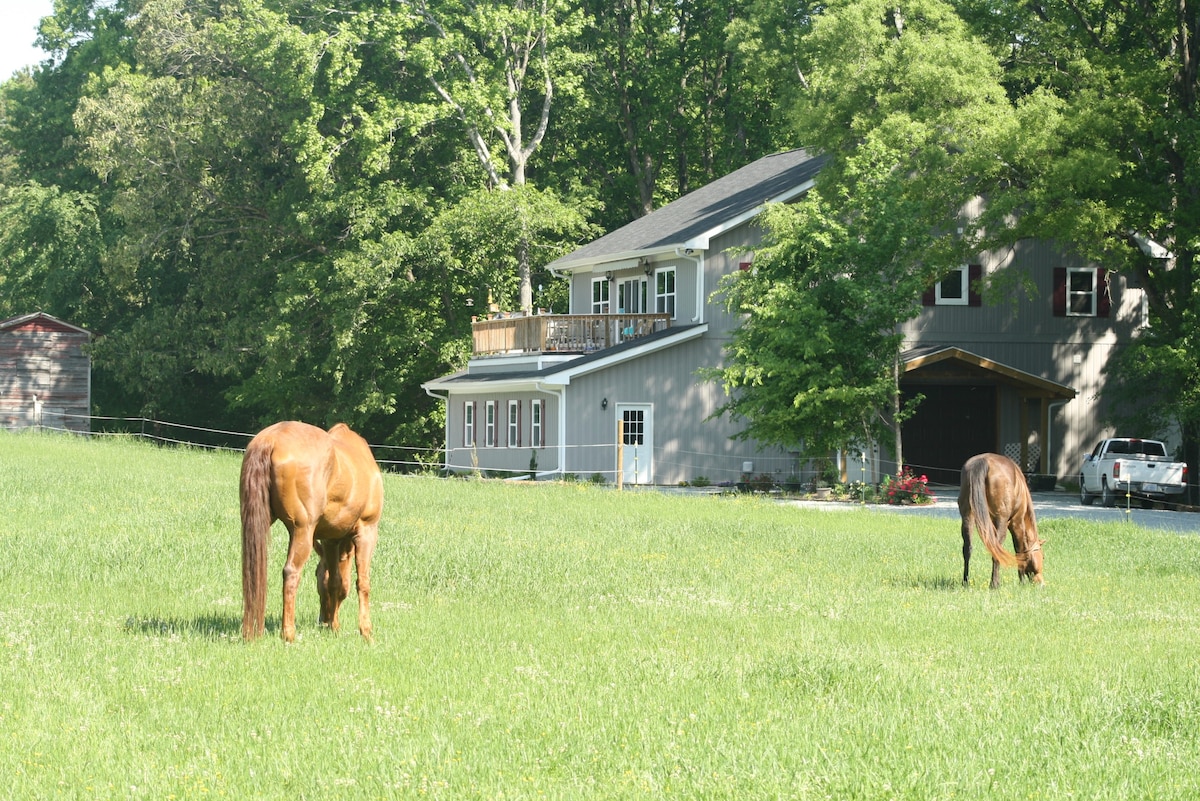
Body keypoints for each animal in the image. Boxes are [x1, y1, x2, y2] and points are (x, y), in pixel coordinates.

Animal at [236, 422, 381, 642]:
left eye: (317, 575)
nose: (323, 620)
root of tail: (270, 439)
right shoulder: (367, 531)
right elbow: (362, 583)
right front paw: (366, 632)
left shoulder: (331, 540)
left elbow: (335, 582)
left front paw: (335, 627)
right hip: (302, 530)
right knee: (291, 573)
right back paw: (289, 634)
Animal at [955, 450, 1041, 587]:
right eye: (1042, 557)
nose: (1040, 583)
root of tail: (983, 462)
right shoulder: (1017, 522)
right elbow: (1019, 550)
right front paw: (1021, 581)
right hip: (1002, 521)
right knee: (996, 549)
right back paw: (994, 584)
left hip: (967, 516)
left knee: (967, 548)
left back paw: (966, 582)